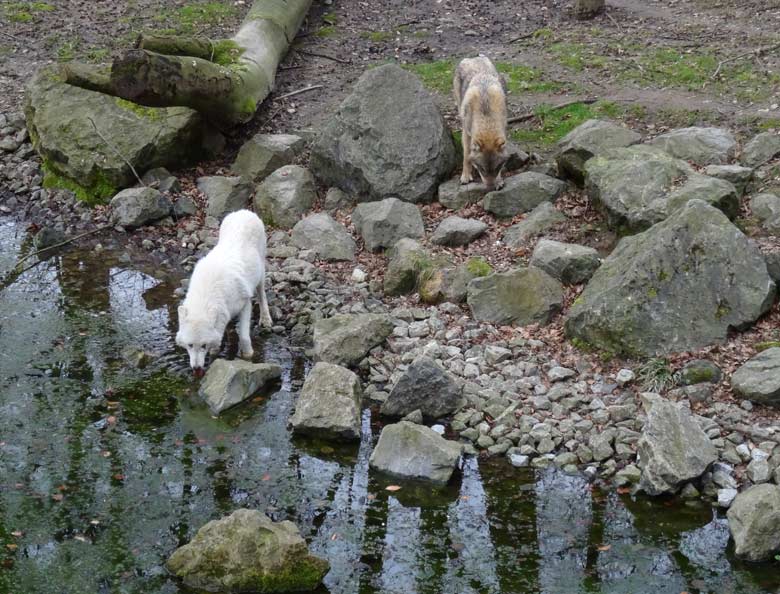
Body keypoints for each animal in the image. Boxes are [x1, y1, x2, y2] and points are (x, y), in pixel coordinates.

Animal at [175, 209, 272, 374]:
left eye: (203, 345)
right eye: (190, 345)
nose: (196, 368)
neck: (208, 294)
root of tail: (244, 211)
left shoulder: (245, 304)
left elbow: (244, 336)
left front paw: (248, 355)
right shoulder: (223, 311)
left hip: (261, 274)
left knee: (262, 295)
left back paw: (266, 319)